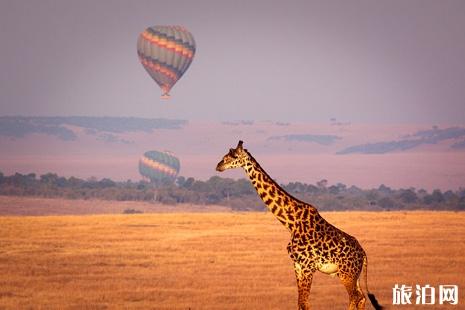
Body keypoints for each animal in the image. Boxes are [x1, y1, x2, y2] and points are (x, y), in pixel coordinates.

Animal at [214, 141, 380, 310]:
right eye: (225, 155)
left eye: (233, 156)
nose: (218, 166)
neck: (291, 223)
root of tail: (363, 254)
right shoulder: (297, 265)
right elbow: (300, 302)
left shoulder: (308, 266)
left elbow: (305, 303)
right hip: (354, 275)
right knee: (361, 298)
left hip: (347, 274)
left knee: (355, 297)